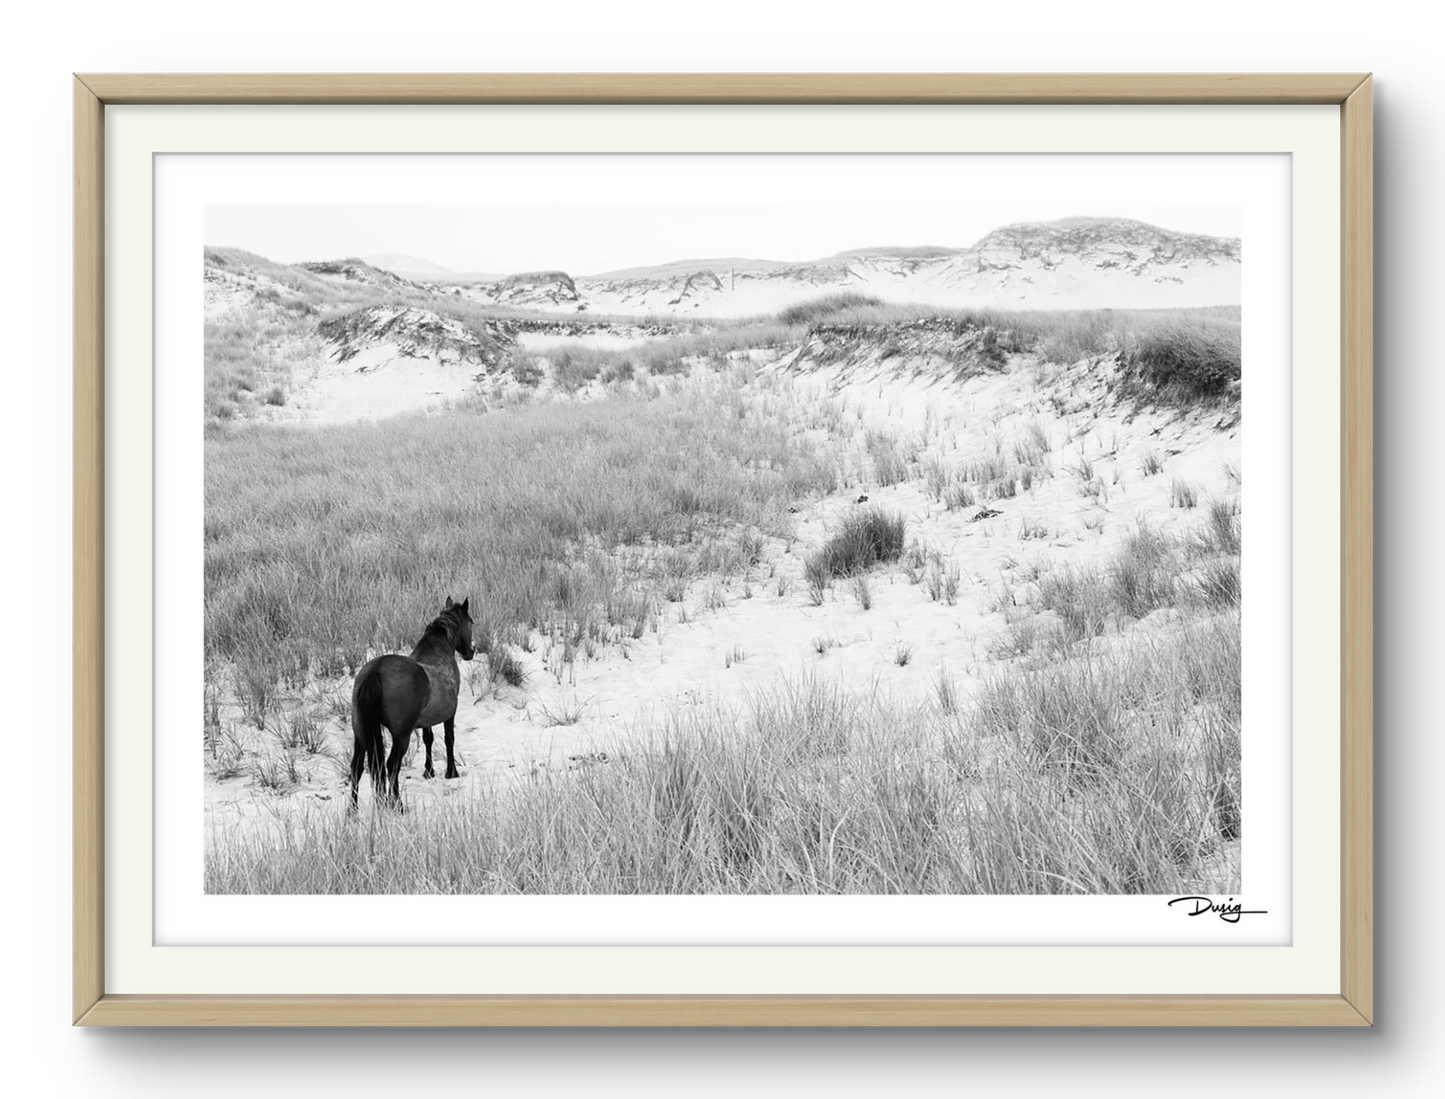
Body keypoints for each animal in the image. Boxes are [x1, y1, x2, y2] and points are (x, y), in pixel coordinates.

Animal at [351, 594, 476, 808]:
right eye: (471, 622)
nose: (471, 651)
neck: (438, 652)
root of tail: (376, 671)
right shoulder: (450, 713)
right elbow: (449, 738)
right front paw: (451, 772)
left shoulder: (426, 720)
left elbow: (428, 738)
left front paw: (429, 771)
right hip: (401, 735)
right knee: (391, 765)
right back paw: (398, 805)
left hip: (360, 733)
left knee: (356, 768)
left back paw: (353, 811)